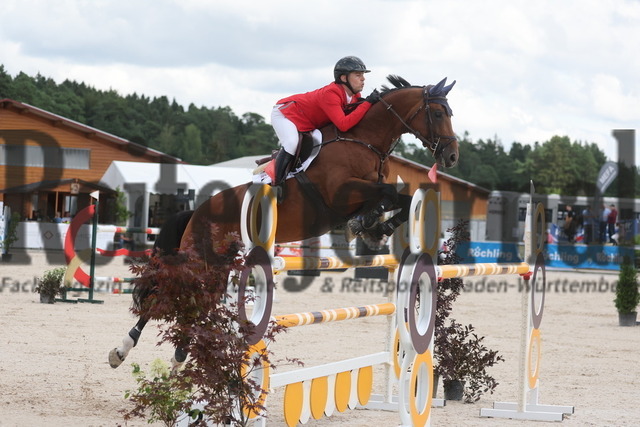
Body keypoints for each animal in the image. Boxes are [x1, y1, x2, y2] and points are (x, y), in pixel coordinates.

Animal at [109, 75, 459, 369]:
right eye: (438, 113)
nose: (452, 156)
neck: (365, 140)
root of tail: (196, 210)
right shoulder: (340, 193)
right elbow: (387, 193)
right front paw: (368, 224)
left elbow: (398, 198)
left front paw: (375, 226)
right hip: (199, 260)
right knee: (168, 296)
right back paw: (122, 351)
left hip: (219, 265)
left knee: (200, 304)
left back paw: (179, 355)